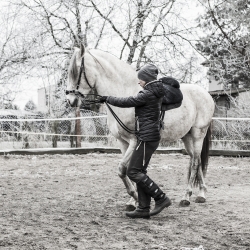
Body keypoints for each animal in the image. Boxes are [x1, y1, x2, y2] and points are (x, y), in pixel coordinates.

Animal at [66, 45, 215, 209]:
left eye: (76, 71)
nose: (70, 100)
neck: (125, 91)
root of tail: (206, 94)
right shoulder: (122, 142)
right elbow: (128, 170)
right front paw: (133, 201)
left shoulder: (134, 141)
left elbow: (122, 169)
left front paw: (136, 197)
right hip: (187, 137)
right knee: (197, 159)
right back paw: (201, 194)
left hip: (198, 135)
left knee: (195, 163)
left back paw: (187, 197)